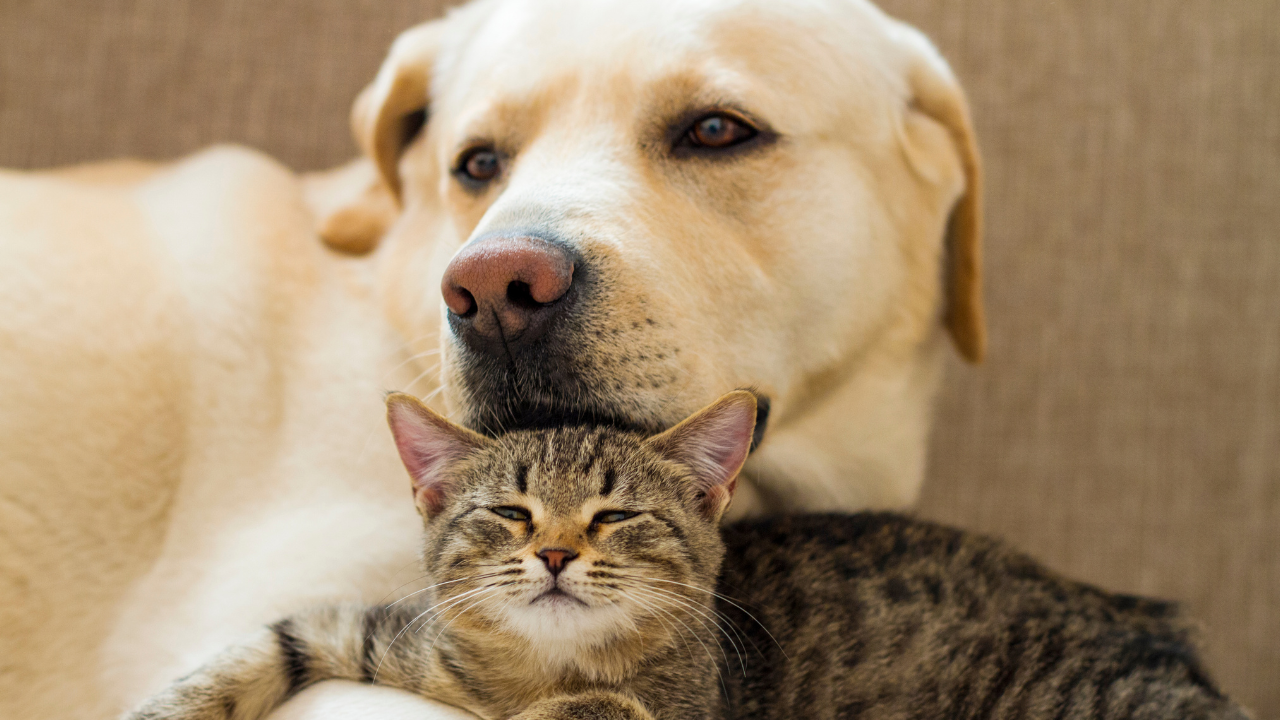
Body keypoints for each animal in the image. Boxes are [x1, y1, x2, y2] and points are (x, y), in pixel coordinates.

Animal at [124, 392, 1244, 717]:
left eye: (616, 517)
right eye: (511, 514)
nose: (556, 555)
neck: (538, 669)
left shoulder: (680, 710)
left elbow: (595, 709)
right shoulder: (389, 634)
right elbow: (268, 641)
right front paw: (172, 703)